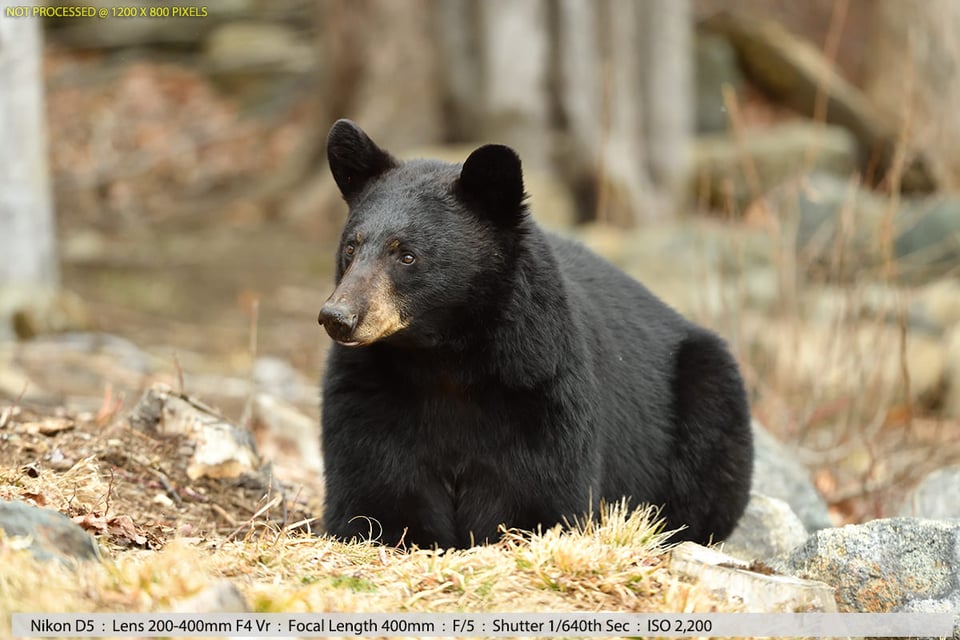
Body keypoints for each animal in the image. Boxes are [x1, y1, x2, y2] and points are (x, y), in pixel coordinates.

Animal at [318, 121, 752, 552]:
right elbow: (375, 491)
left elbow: (538, 493)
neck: (443, 358)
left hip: (706, 389)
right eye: (351, 247)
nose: (338, 317)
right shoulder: (369, 395)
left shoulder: (540, 386)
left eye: (407, 255)